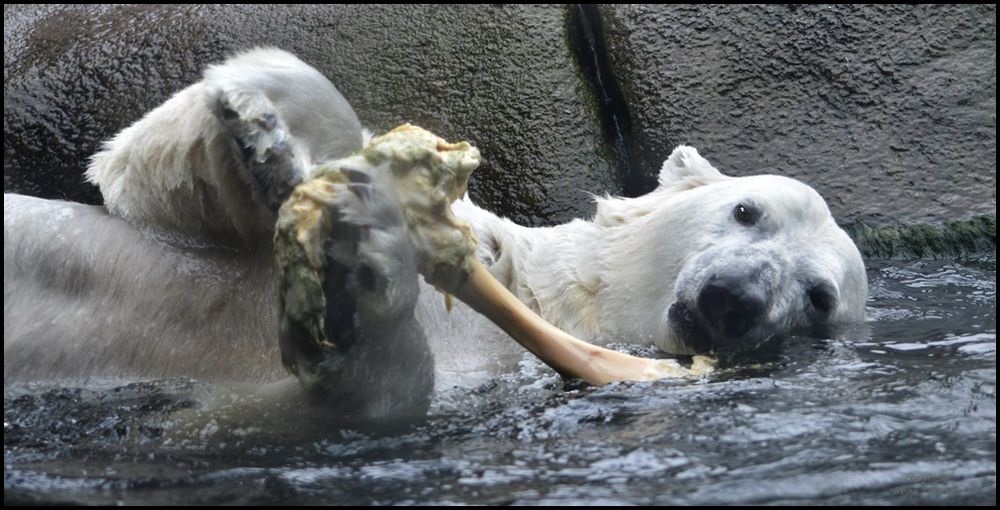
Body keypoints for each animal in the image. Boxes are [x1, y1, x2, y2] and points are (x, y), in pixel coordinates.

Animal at [3, 47, 868, 414]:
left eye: (819, 298)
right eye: (747, 210)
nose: (734, 298)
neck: (562, 300)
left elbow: (362, 393)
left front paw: (360, 278)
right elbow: (139, 182)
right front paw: (263, 127)